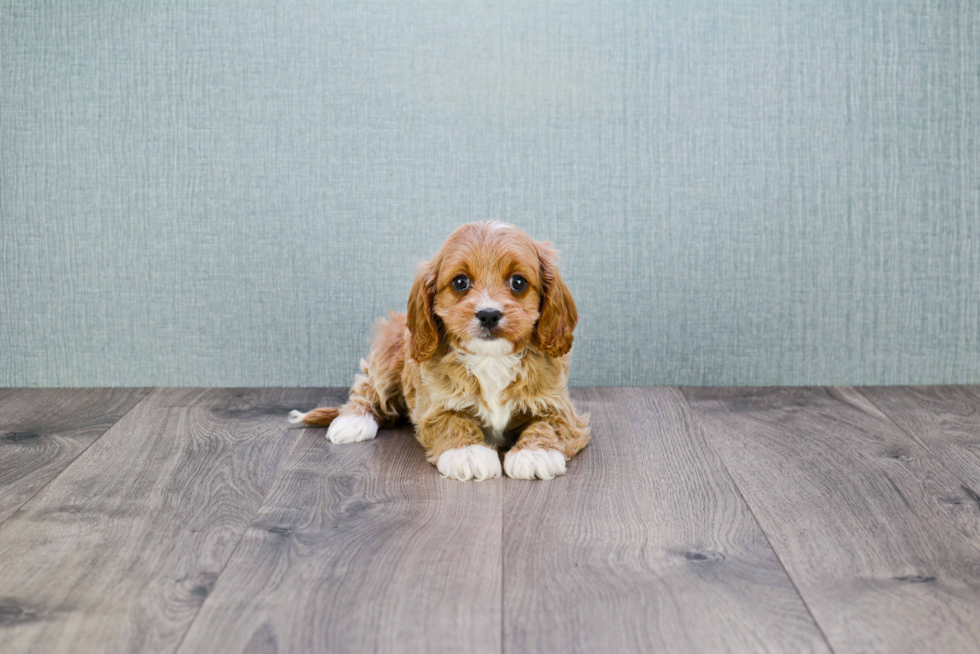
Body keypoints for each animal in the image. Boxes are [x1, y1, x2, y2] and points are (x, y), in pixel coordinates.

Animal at [286, 222, 588, 482]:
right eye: (460, 282)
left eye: (518, 282)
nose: (489, 314)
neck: (490, 358)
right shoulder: (433, 406)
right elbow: (452, 421)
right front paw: (467, 453)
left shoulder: (557, 404)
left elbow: (550, 424)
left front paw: (536, 453)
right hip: (388, 353)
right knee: (368, 386)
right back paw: (353, 419)